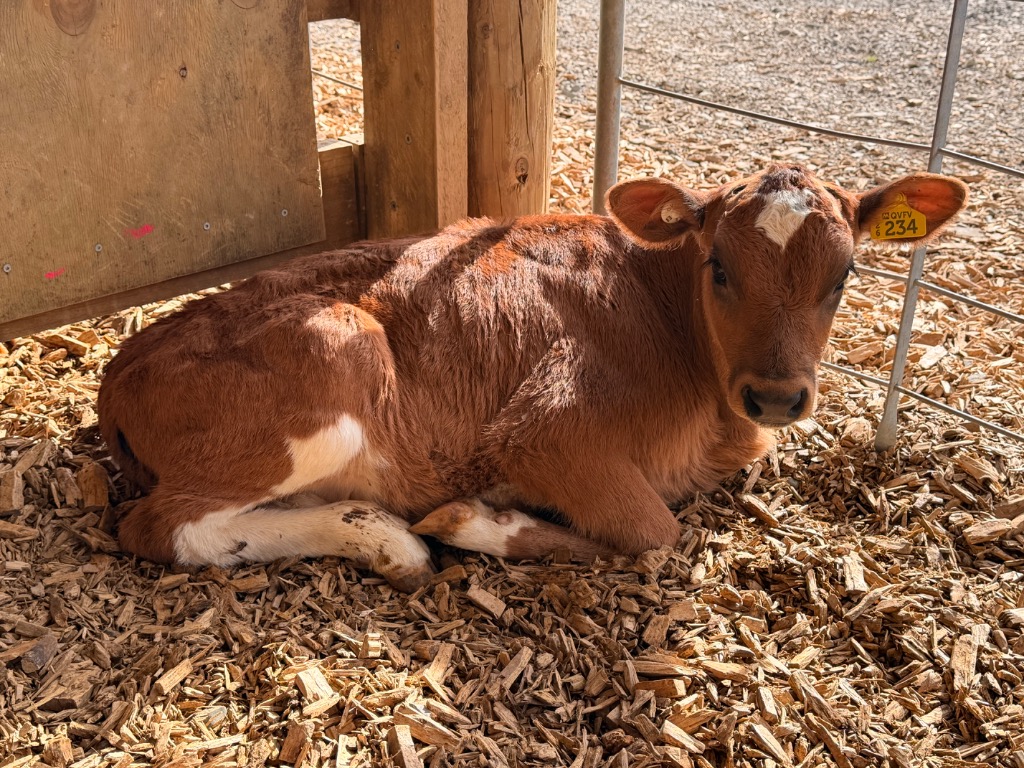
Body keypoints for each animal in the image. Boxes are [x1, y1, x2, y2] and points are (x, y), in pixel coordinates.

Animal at [98, 164, 968, 591]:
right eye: (718, 266)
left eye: (846, 276)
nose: (780, 396)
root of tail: (124, 362)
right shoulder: (547, 430)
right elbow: (653, 533)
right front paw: (477, 521)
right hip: (338, 357)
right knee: (161, 527)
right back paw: (389, 541)